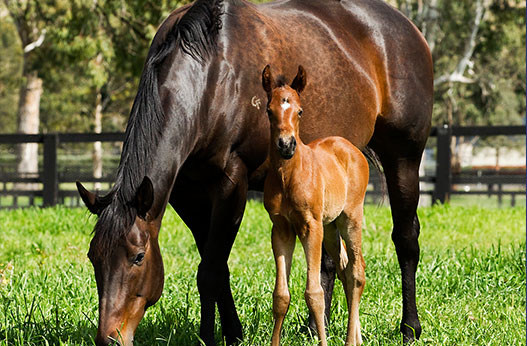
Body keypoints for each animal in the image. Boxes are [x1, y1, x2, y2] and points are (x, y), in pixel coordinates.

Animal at [262, 65, 370, 346]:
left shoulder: (311, 227)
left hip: (350, 218)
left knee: (357, 272)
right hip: (330, 227)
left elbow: (315, 293)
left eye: (300, 111)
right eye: (269, 110)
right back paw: (356, 338)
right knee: (345, 269)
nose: (286, 145)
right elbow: (281, 296)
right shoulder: (281, 229)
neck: (288, 176)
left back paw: (351, 341)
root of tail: (351, 148)